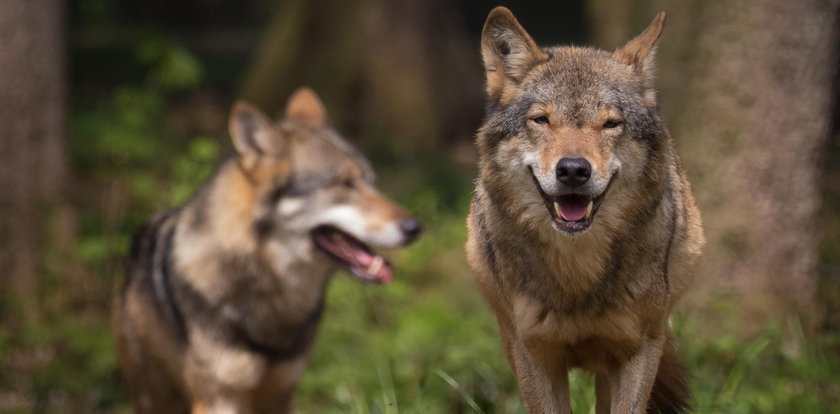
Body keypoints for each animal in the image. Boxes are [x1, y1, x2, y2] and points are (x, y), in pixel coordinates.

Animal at [115, 88, 424, 414]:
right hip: (152, 395)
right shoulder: (218, 400)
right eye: (346, 184)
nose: (415, 227)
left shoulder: (281, 394)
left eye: (373, 183)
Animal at [470, 7, 704, 414]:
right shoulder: (533, 355)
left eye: (610, 124)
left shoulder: (640, 350)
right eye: (541, 120)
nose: (573, 170)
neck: (578, 273)